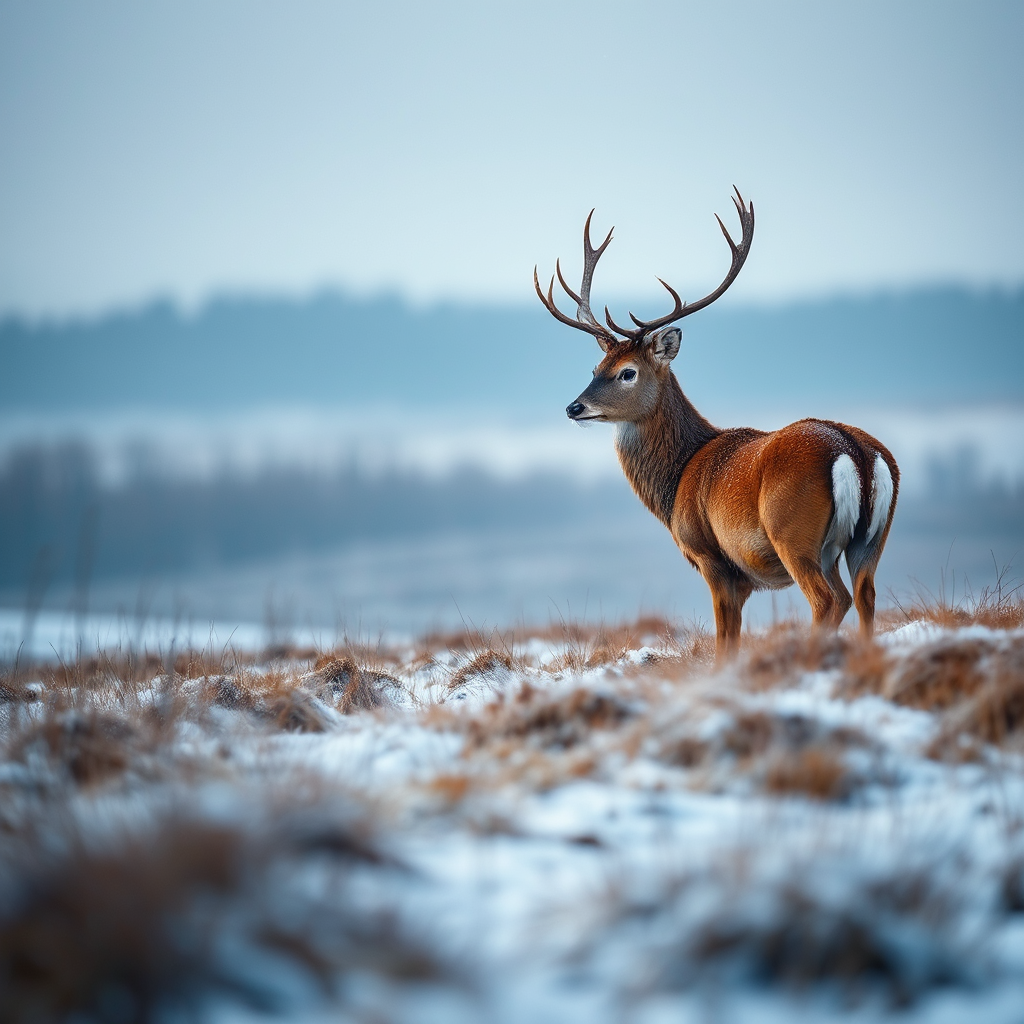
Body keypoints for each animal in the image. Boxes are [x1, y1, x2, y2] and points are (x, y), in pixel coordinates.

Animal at [535, 189, 899, 659]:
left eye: (627, 372)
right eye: (596, 366)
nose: (574, 408)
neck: (677, 479)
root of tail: (853, 451)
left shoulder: (712, 557)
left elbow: (725, 637)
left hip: (793, 533)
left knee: (828, 600)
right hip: (870, 539)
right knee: (866, 595)